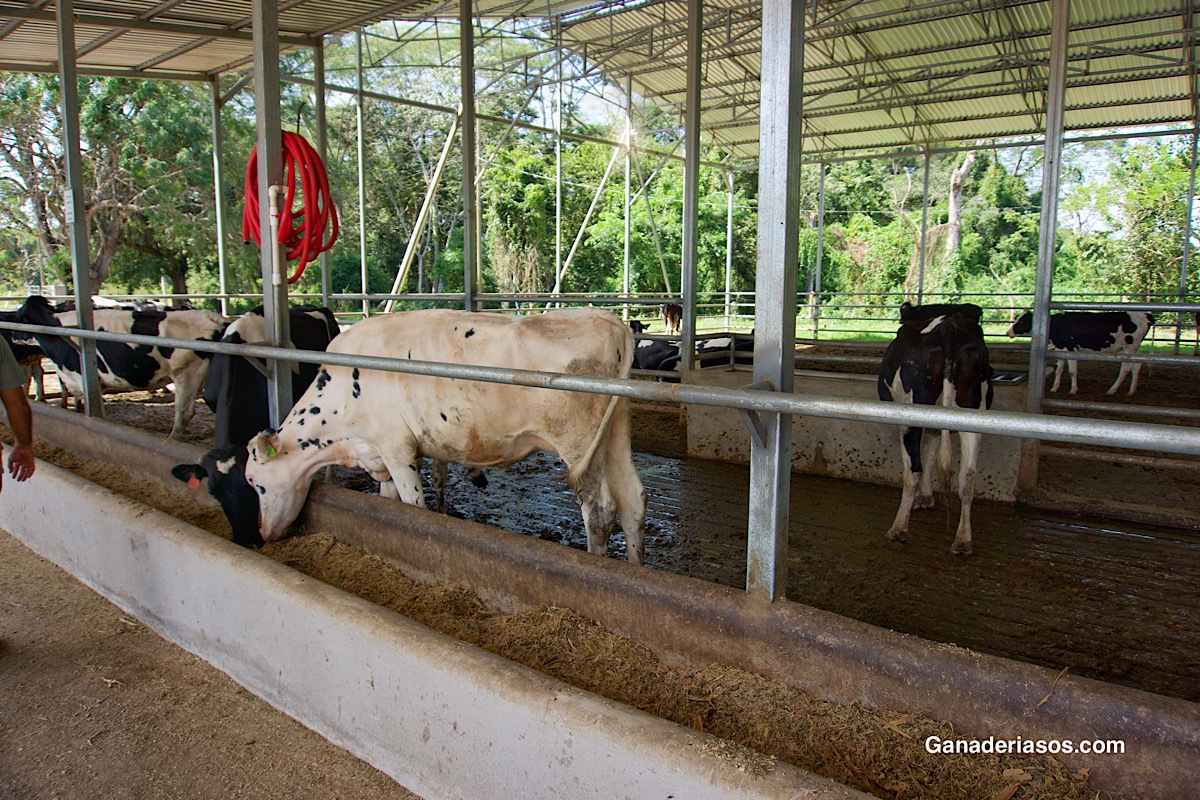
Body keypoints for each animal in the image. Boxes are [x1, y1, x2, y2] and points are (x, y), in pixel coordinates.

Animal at [17, 293, 228, 438]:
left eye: (20, 316)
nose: (16, 337)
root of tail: (216, 320)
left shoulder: (83, 377)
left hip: (186, 373)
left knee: (184, 413)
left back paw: (171, 439)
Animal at [240, 307, 648, 563]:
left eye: (254, 481)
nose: (263, 532)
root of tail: (610, 320)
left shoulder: (396, 447)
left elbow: (413, 506)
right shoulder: (380, 452)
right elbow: (387, 502)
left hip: (578, 441)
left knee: (599, 508)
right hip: (614, 432)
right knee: (633, 499)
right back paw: (634, 566)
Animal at [873, 314, 993, 556]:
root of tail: (947, 325)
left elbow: (924, 458)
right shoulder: (937, 425)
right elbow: (931, 453)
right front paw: (926, 497)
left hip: (910, 417)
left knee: (913, 471)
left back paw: (898, 528)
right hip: (973, 416)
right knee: (967, 477)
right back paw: (963, 539)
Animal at [1008, 309, 1156, 395]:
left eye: (1022, 321)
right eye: (1017, 318)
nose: (1008, 332)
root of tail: (1146, 315)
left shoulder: (1071, 349)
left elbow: (1072, 371)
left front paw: (1073, 390)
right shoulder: (1060, 349)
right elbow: (1059, 369)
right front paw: (1054, 388)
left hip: (1129, 347)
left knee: (1125, 368)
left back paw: (1112, 390)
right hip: (1134, 348)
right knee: (1136, 365)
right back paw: (1132, 390)